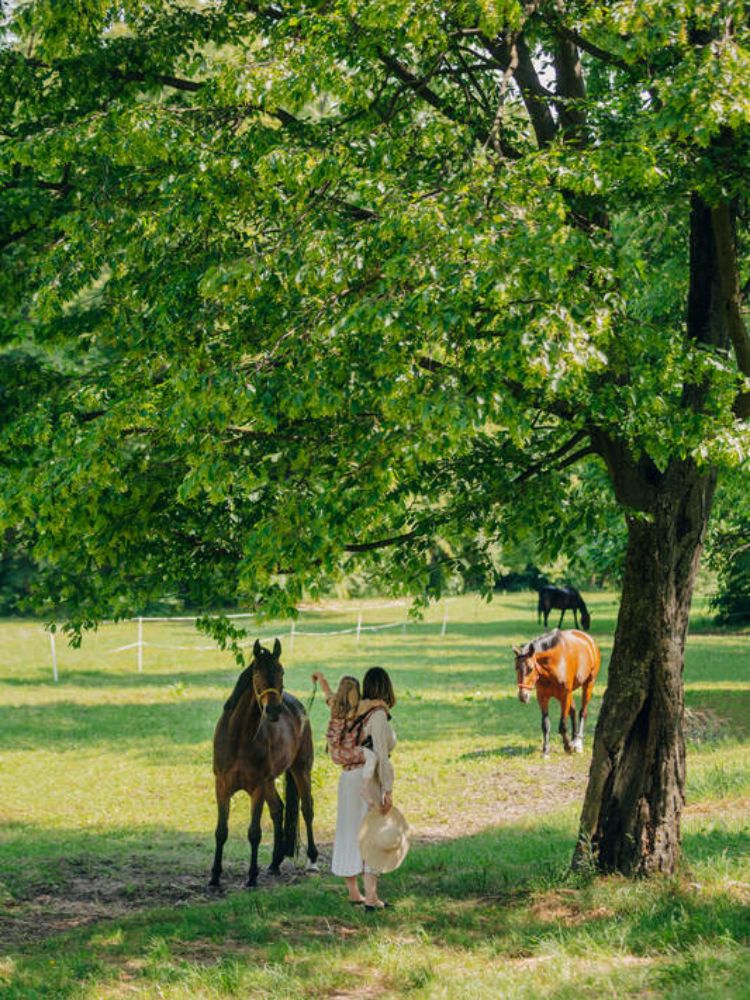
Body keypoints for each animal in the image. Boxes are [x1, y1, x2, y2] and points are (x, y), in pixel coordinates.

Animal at [210, 636, 318, 888]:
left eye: (281, 671)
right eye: (257, 672)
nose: (273, 710)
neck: (239, 736)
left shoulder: (257, 787)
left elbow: (254, 832)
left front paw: (251, 876)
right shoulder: (222, 786)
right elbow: (221, 831)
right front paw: (215, 876)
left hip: (301, 769)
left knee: (307, 808)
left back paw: (312, 859)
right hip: (270, 781)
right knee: (278, 809)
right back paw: (275, 863)